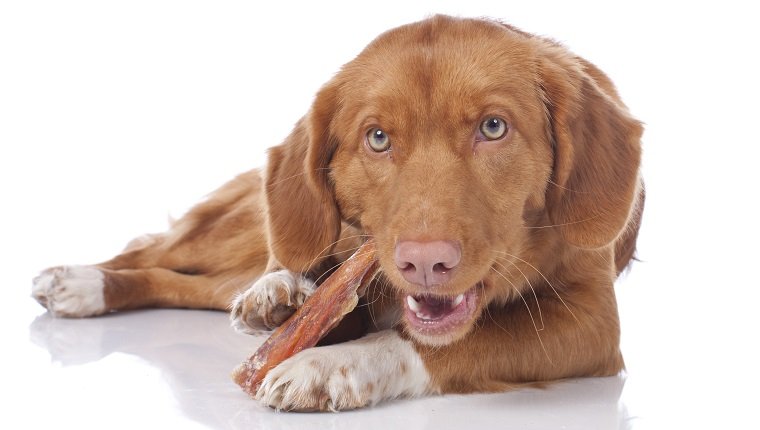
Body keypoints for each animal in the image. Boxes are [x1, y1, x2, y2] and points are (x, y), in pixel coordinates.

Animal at [32, 15, 644, 414]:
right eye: (377, 138)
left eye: (494, 127)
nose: (425, 264)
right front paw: (287, 298)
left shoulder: (593, 321)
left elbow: (438, 341)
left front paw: (331, 365)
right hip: (237, 228)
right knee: (155, 249)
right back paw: (81, 282)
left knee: (184, 282)